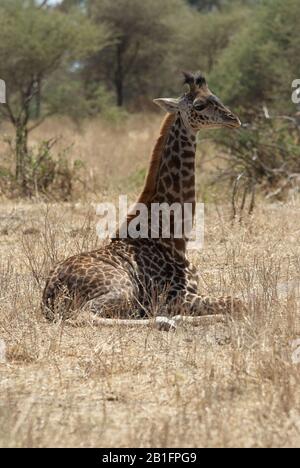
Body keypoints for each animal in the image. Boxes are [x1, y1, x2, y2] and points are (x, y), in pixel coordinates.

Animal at [41, 71, 244, 330]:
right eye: (199, 104)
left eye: (216, 96)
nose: (233, 119)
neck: (172, 238)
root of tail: (48, 294)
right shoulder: (176, 295)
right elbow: (238, 302)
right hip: (123, 289)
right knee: (84, 315)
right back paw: (167, 321)